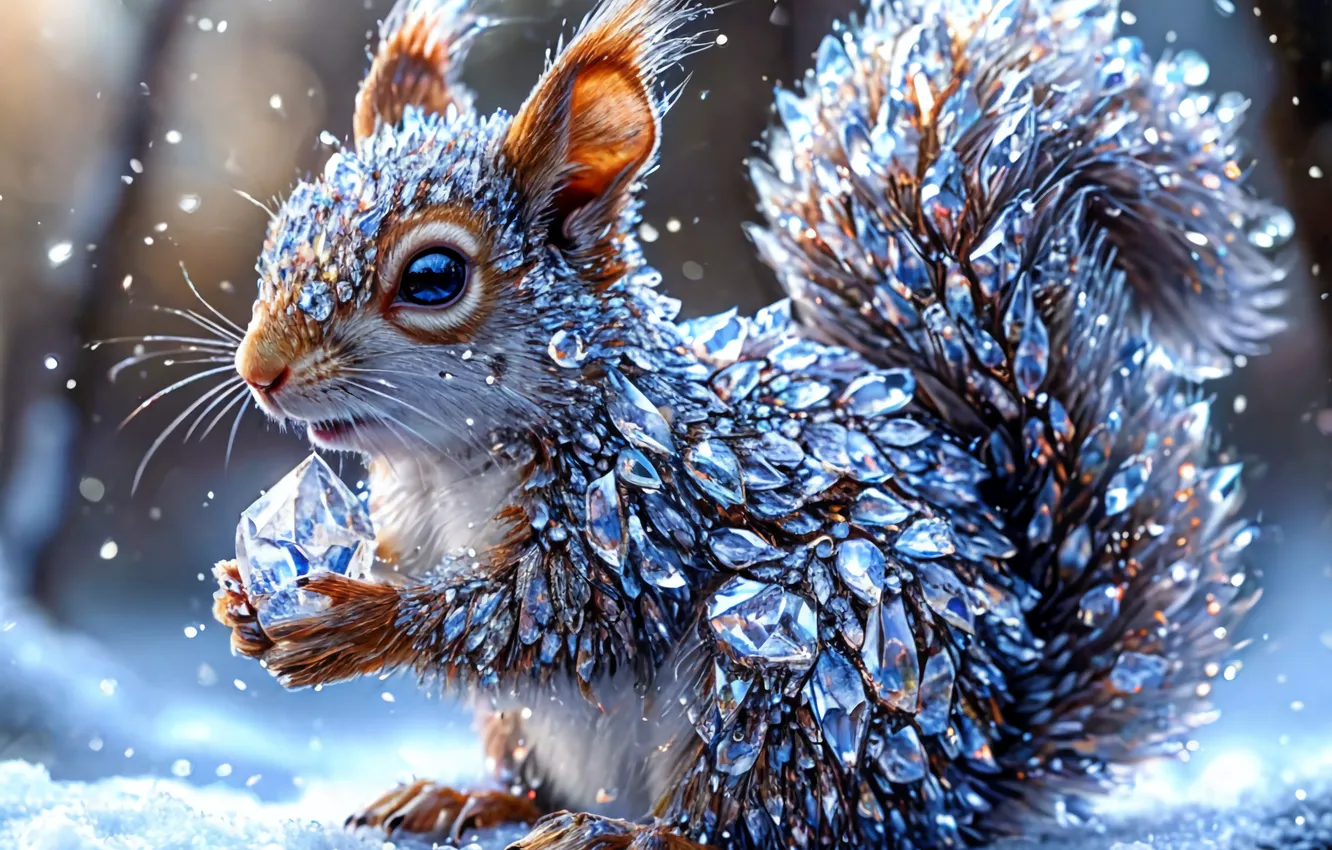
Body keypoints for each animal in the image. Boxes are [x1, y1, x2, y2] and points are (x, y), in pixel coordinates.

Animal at [202, 0, 1288, 847]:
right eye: (284, 234)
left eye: (433, 277)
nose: (259, 371)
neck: (445, 463)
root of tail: (969, 773)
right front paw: (246, 599)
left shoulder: (644, 504)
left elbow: (557, 620)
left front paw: (358, 622)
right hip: (539, 728)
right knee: (543, 781)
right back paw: (469, 798)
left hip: (795, 678)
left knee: (758, 822)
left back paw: (627, 835)